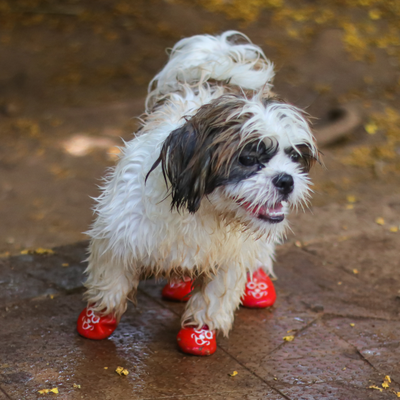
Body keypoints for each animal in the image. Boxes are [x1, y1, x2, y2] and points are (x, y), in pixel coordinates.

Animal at [76, 31, 318, 356]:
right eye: (248, 158)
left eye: (294, 157)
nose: (286, 180)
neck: (205, 210)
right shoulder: (118, 237)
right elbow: (110, 283)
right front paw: (97, 320)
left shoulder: (228, 260)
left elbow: (213, 299)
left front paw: (199, 335)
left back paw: (256, 285)